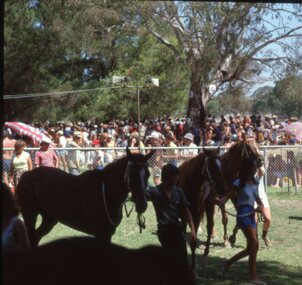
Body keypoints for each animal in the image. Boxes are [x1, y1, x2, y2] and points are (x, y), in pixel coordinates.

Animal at [15, 148, 155, 245]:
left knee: (36, 238)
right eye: (132, 175)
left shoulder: (108, 233)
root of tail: (27, 174)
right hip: (30, 215)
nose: (142, 204)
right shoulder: (101, 234)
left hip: (49, 218)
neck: (105, 193)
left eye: (147, 174)